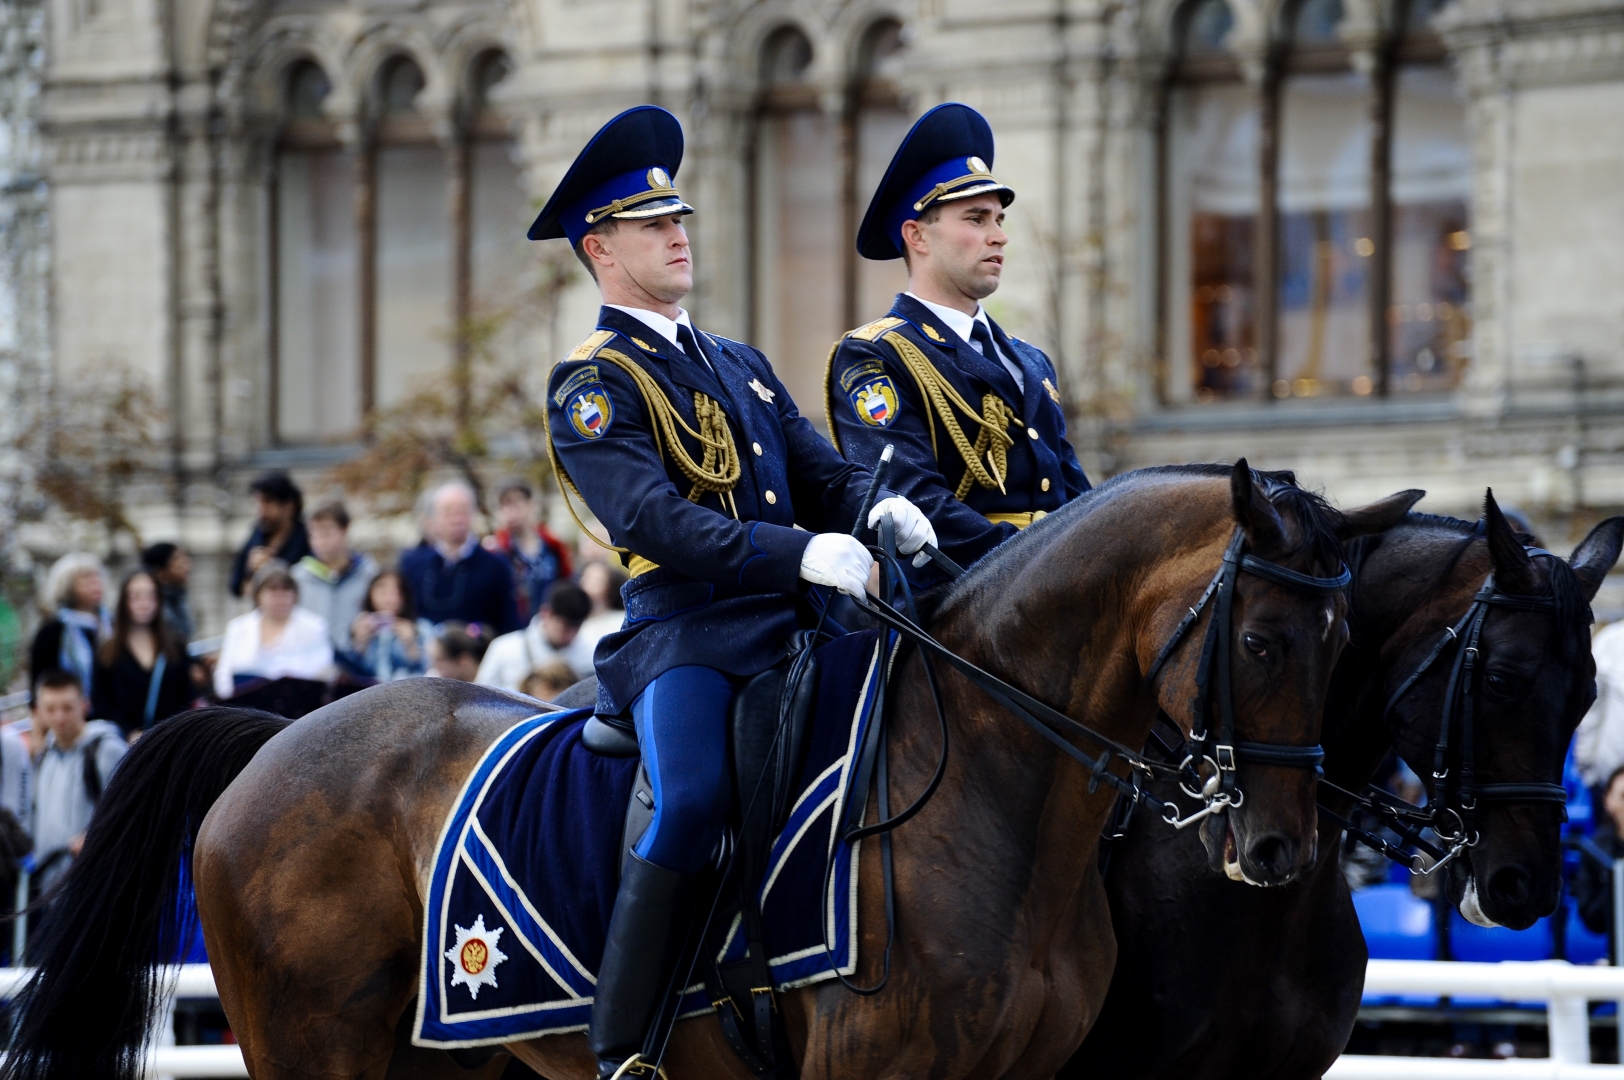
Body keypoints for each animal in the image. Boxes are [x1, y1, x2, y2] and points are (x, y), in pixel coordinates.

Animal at [6, 464, 1409, 1078]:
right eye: (1266, 638)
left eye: (1351, 641)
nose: (1275, 849)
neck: (994, 788)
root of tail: (275, 734)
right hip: (319, 1057)